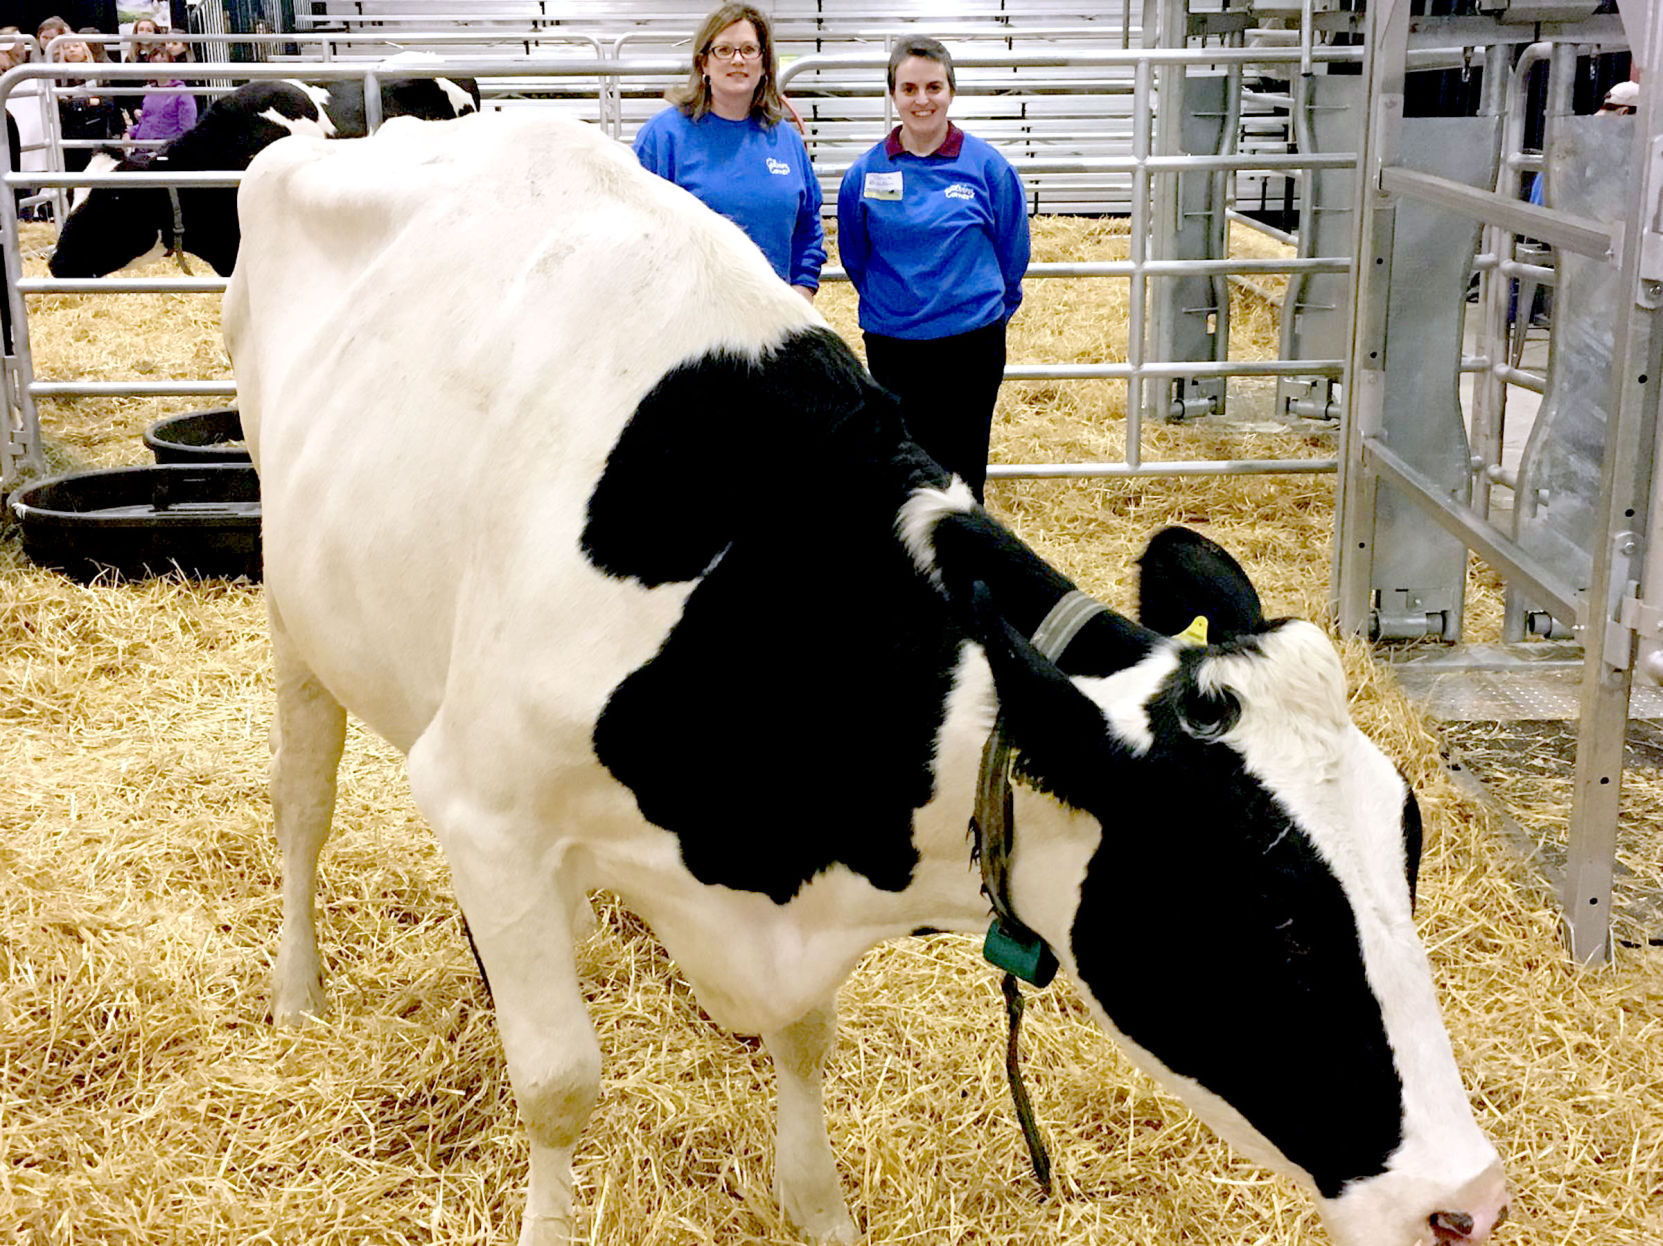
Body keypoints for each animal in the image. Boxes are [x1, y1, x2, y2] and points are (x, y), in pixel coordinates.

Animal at [227, 113, 1516, 1244]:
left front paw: (817, 1204)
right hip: (293, 601)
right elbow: (558, 1083)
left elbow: (803, 1038)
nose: (1469, 1198)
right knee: (302, 804)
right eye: (1271, 914)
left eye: (1409, 855)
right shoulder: (482, 802)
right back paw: (293, 991)